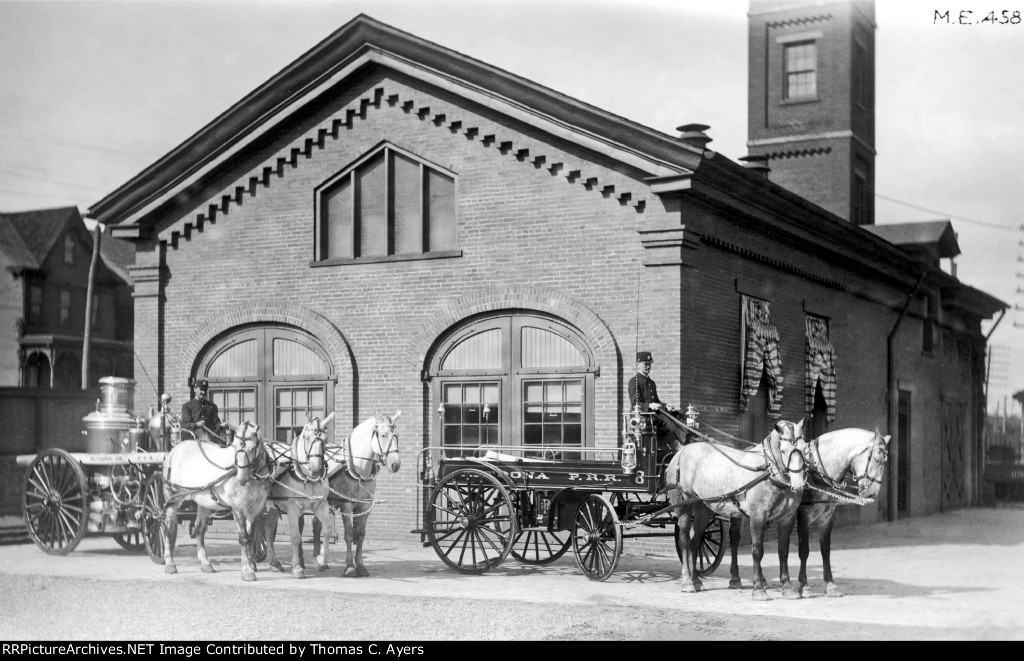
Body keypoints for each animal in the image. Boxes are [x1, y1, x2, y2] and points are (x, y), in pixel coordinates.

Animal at [157, 421, 270, 581]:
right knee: (169, 527)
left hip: (204, 501)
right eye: (235, 447)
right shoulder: (238, 507)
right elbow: (243, 538)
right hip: (173, 496)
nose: (241, 479)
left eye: (253, 448)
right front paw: (247, 570)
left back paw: (205, 563)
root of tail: (175, 449)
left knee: (199, 528)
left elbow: (251, 537)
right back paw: (170, 563)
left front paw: (250, 563)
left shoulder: (256, 508)